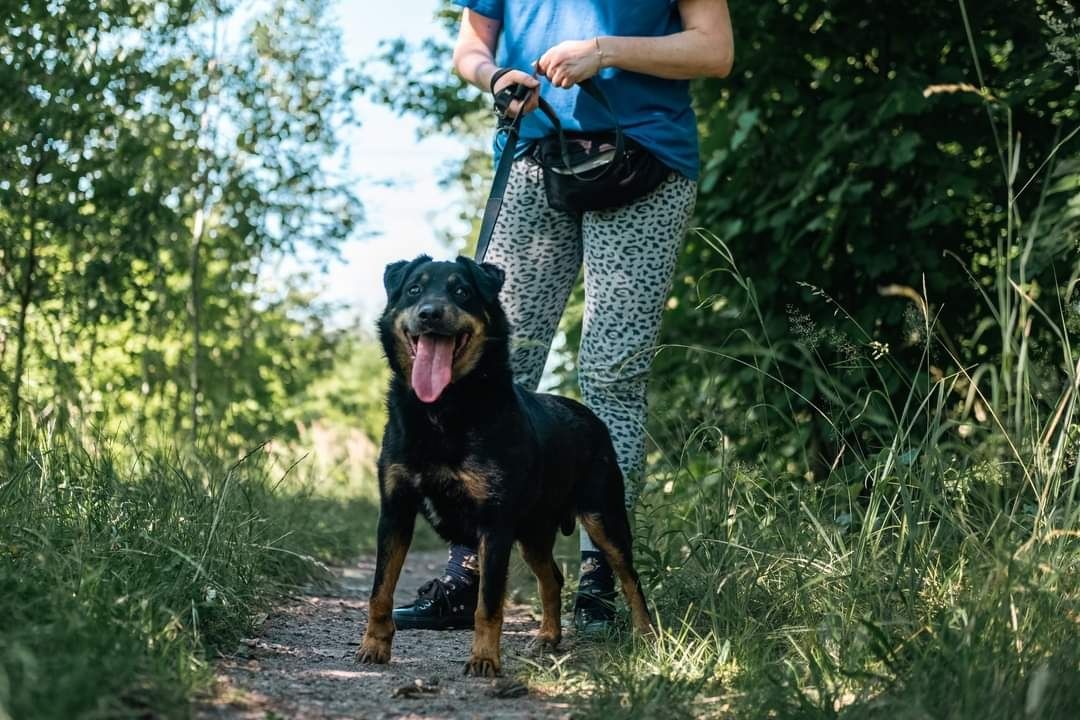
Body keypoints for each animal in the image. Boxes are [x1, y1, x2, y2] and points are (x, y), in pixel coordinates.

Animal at [358, 255, 652, 677]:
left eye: (462, 291)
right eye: (414, 289)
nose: (429, 313)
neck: (443, 409)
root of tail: (589, 415)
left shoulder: (493, 524)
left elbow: (488, 604)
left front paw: (484, 659)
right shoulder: (395, 511)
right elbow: (380, 591)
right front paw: (374, 647)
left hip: (603, 516)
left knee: (630, 577)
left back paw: (645, 635)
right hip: (532, 533)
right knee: (553, 578)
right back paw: (547, 637)